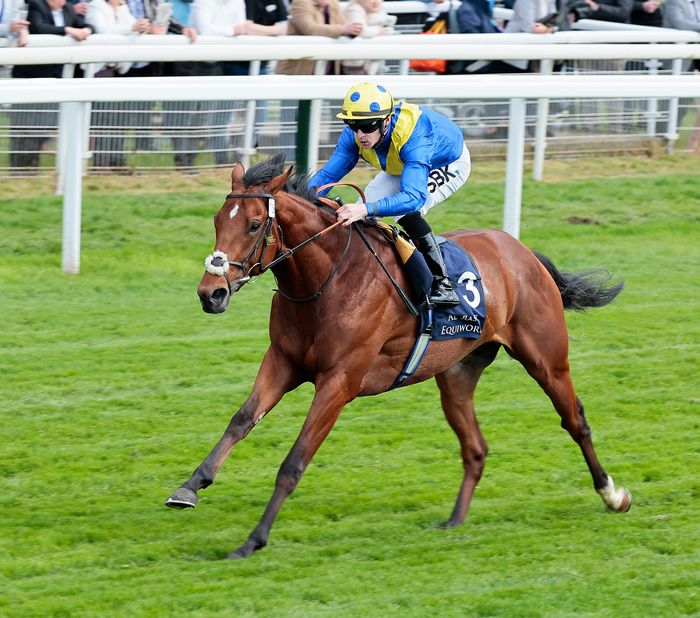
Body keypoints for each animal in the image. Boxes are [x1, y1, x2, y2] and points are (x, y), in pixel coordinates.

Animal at [165, 155, 632, 559]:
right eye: (217, 221)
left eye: (254, 224)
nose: (211, 293)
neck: (325, 280)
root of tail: (523, 252)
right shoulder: (282, 362)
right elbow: (241, 419)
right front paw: (189, 487)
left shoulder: (339, 381)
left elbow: (294, 462)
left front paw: (253, 540)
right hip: (457, 375)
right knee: (476, 448)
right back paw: (454, 520)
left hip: (547, 359)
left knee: (575, 420)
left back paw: (613, 495)